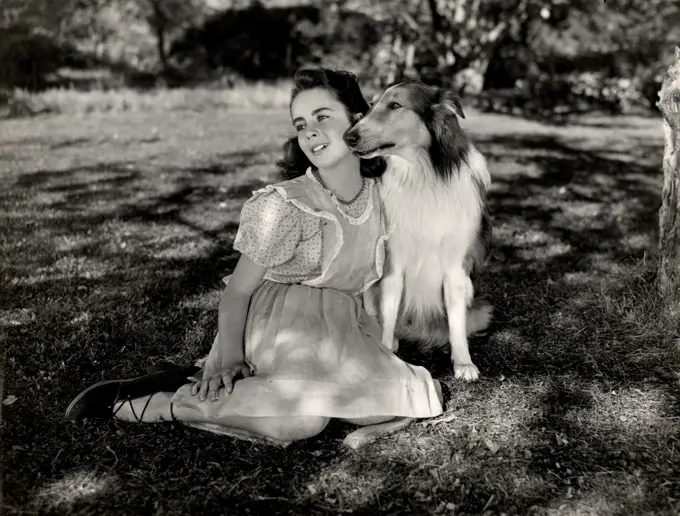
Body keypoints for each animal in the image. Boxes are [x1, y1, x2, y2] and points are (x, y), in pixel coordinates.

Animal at [342, 79, 492, 378]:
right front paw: (386, 351)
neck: (422, 174)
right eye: (372, 104)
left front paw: (463, 362)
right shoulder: (393, 262)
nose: (348, 137)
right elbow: (388, 312)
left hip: (480, 306)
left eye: (395, 105)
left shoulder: (456, 267)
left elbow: (456, 321)